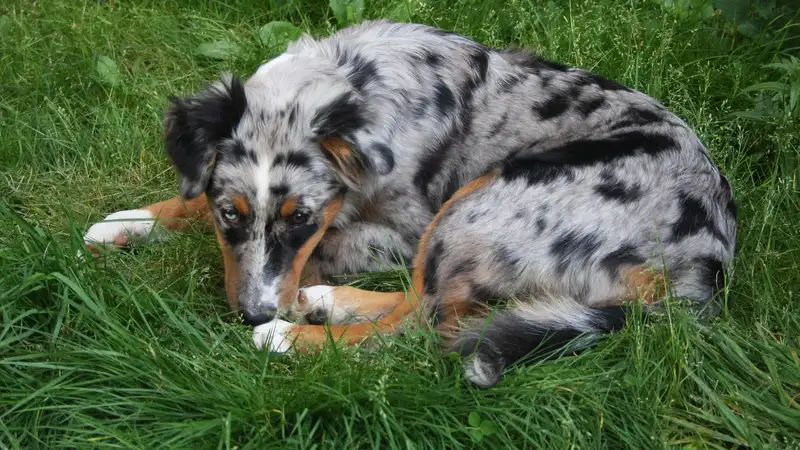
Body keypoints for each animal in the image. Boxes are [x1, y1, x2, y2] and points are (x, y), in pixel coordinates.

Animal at [83, 20, 736, 386]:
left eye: (303, 218)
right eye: (230, 215)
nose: (252, 313)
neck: (348, 84)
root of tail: (703, 271)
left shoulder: (401, 229)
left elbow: (326, 251)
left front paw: (282, 309)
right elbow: (191, 201)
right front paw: (130, 222)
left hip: (482, 201)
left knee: (422, 326)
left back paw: (292, 336)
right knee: (423, 302)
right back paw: (326, 304)